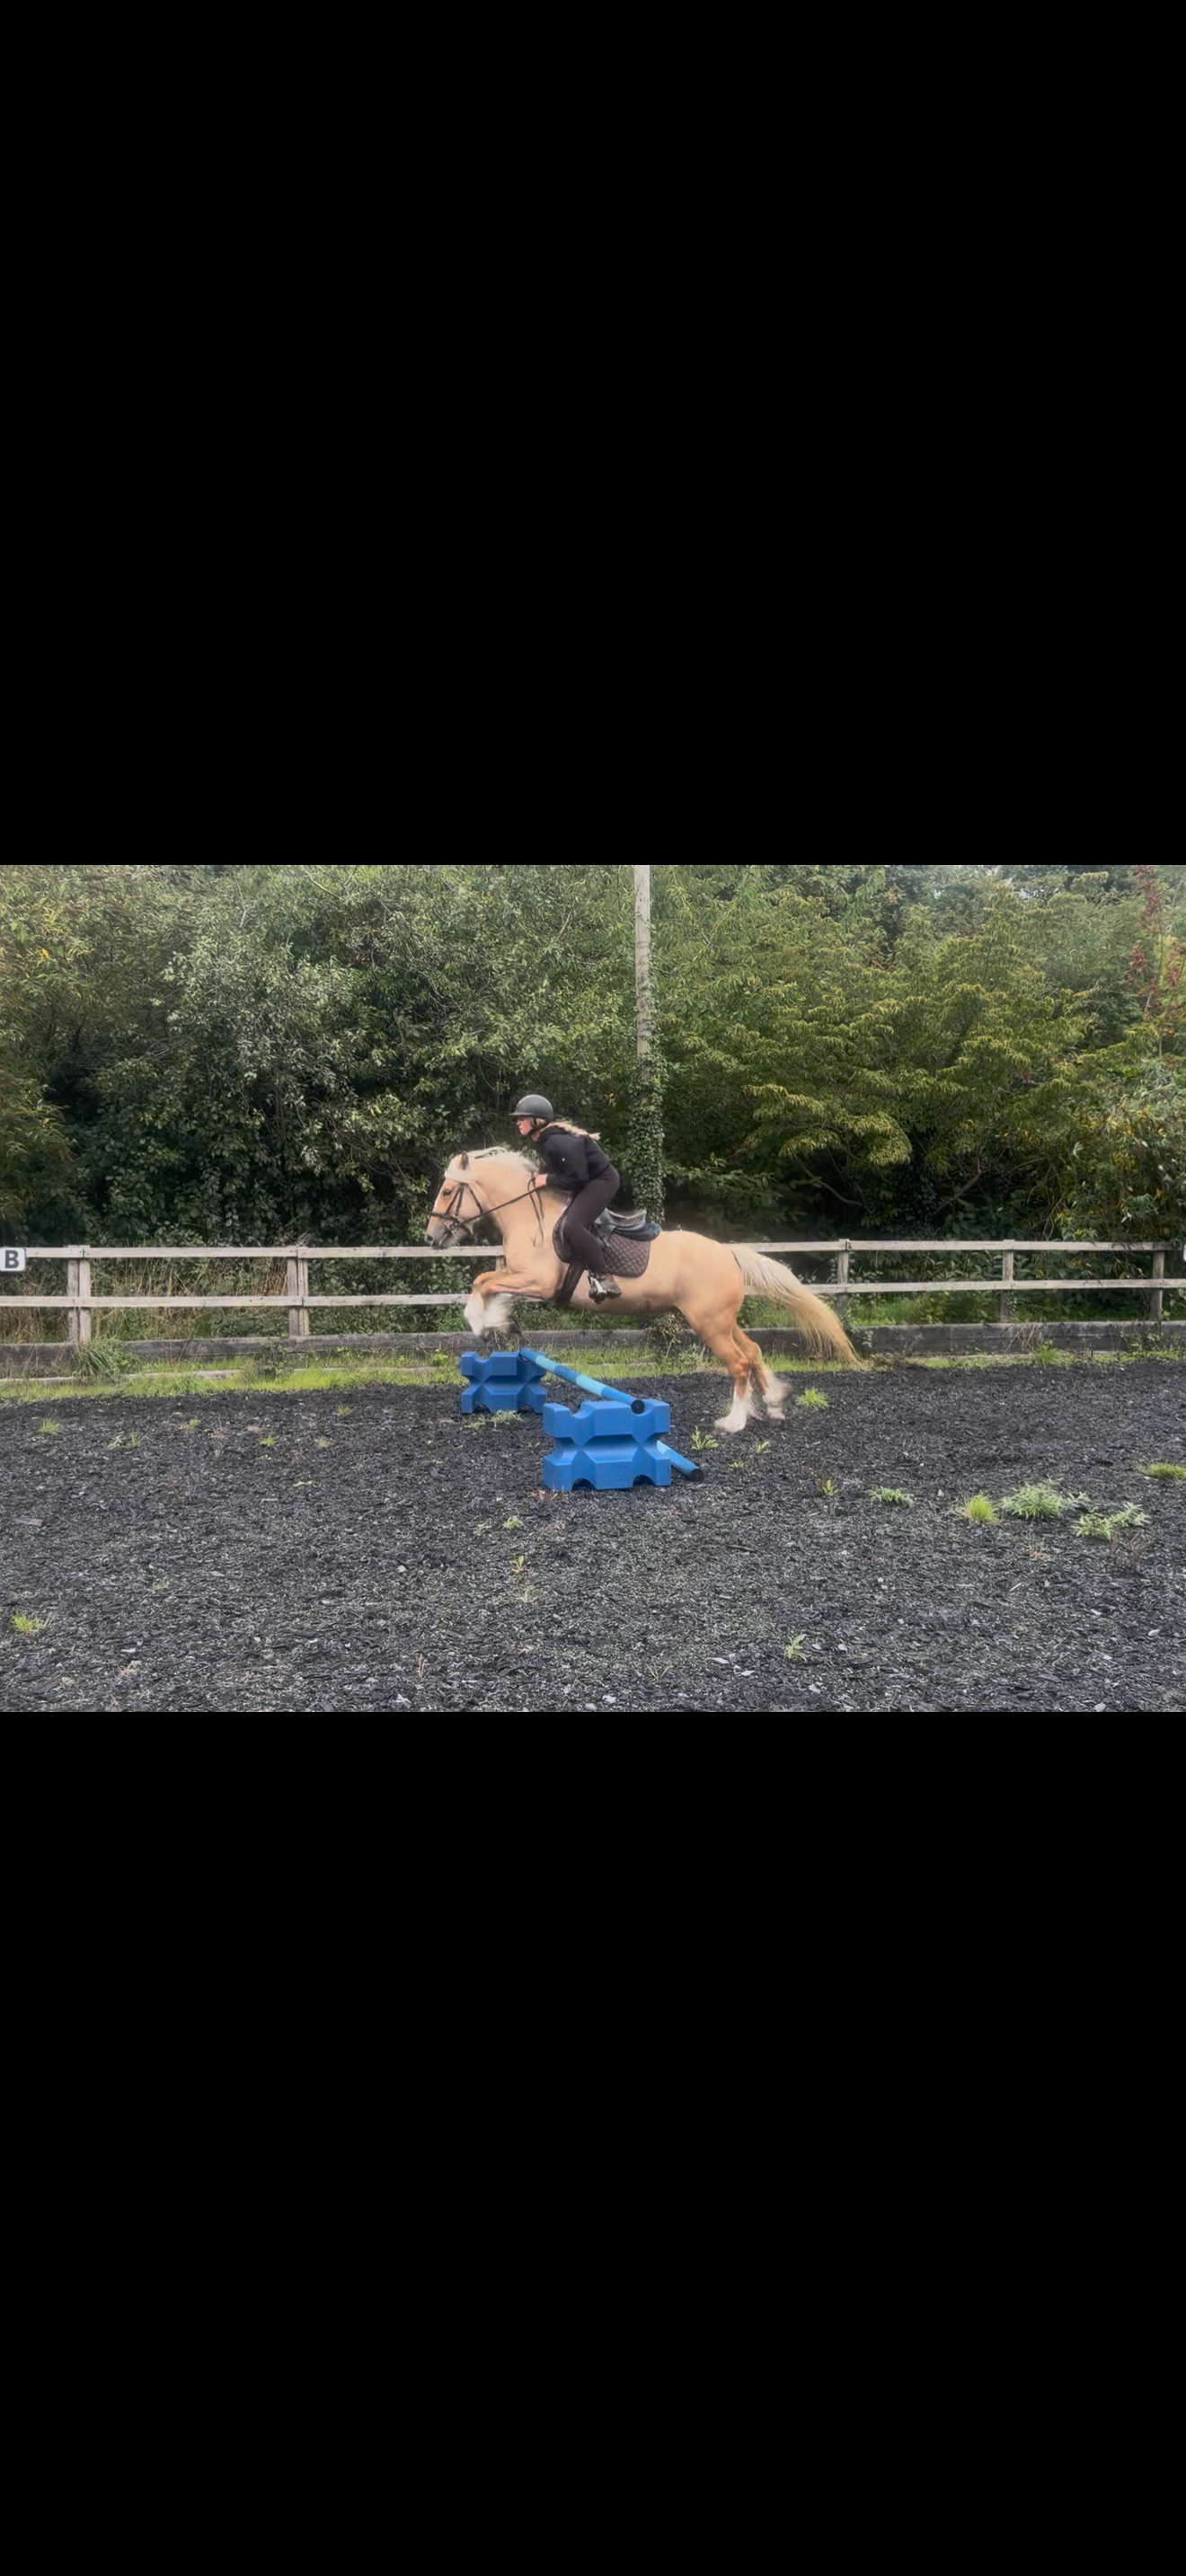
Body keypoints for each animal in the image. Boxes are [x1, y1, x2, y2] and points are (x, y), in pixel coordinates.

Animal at [425, 1147, 856, 1431]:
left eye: (447, 1191)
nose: (431, 1237)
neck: (531, 1217)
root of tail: (729, 1253)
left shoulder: (538, 1280)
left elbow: (482, 1283)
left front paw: (480, 1323)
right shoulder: (522, 1278)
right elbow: (489, 1285)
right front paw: (498, 1323)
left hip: (709, 1324)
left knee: (738, 1362)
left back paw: (733, 1421)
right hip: (722, 1320)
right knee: (752, 1352)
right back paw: (772, 1402)